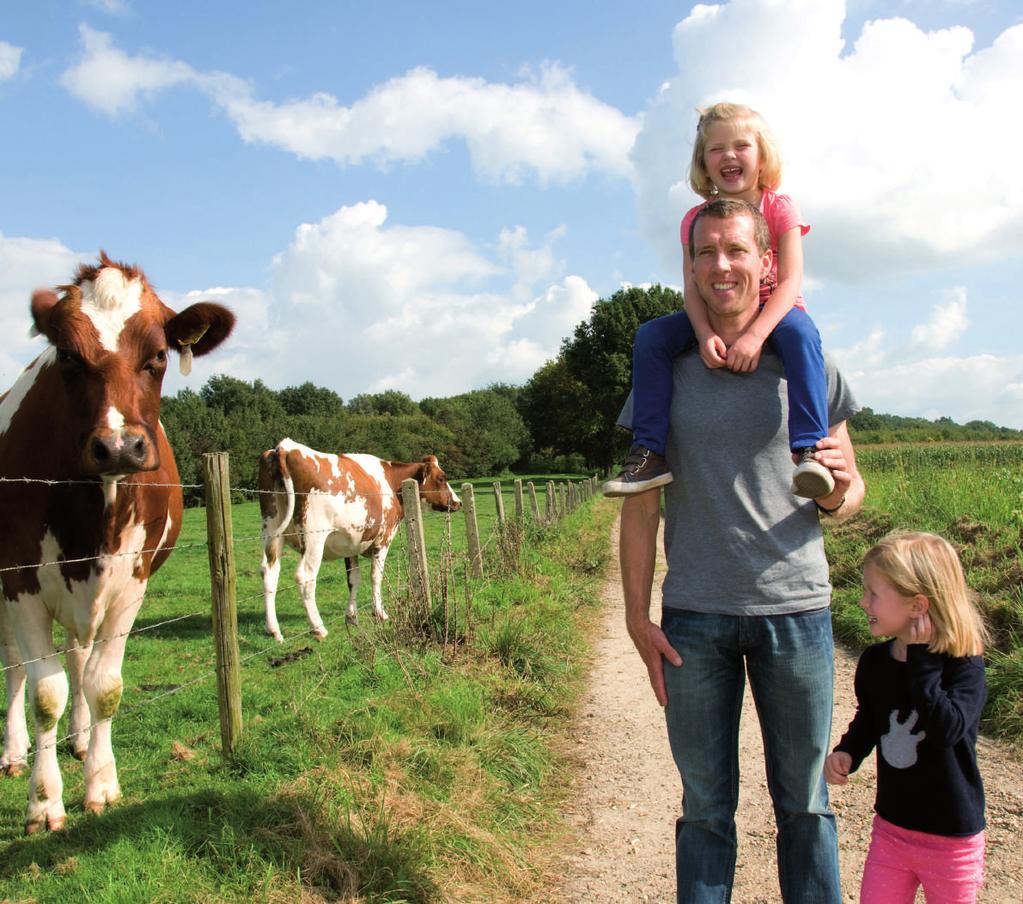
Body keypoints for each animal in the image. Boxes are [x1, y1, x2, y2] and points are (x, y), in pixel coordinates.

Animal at [0, 250, 234, 830]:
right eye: (67, 355)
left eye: (158, 356)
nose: (119, 447)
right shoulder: (19, 582)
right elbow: (45, 691)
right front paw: (44, 802)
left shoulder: (131, 583)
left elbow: (103, 685)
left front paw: (102, 785)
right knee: (15, 665)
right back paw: (14, 753)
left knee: (79, 656)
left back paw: (82, 740)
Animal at [257, 439, 462, 642]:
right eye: (442, 478)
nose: (458, 502)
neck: (392, 482)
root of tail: (285, 447)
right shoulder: (383, 540)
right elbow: (376, 576)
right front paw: (379, 613)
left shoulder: (351, 545)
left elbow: (353, 579)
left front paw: (352, 617)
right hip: (314, 538)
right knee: (305, 577)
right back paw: (318, 628)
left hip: (272, 531)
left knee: (269, 571)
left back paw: (273, 630)